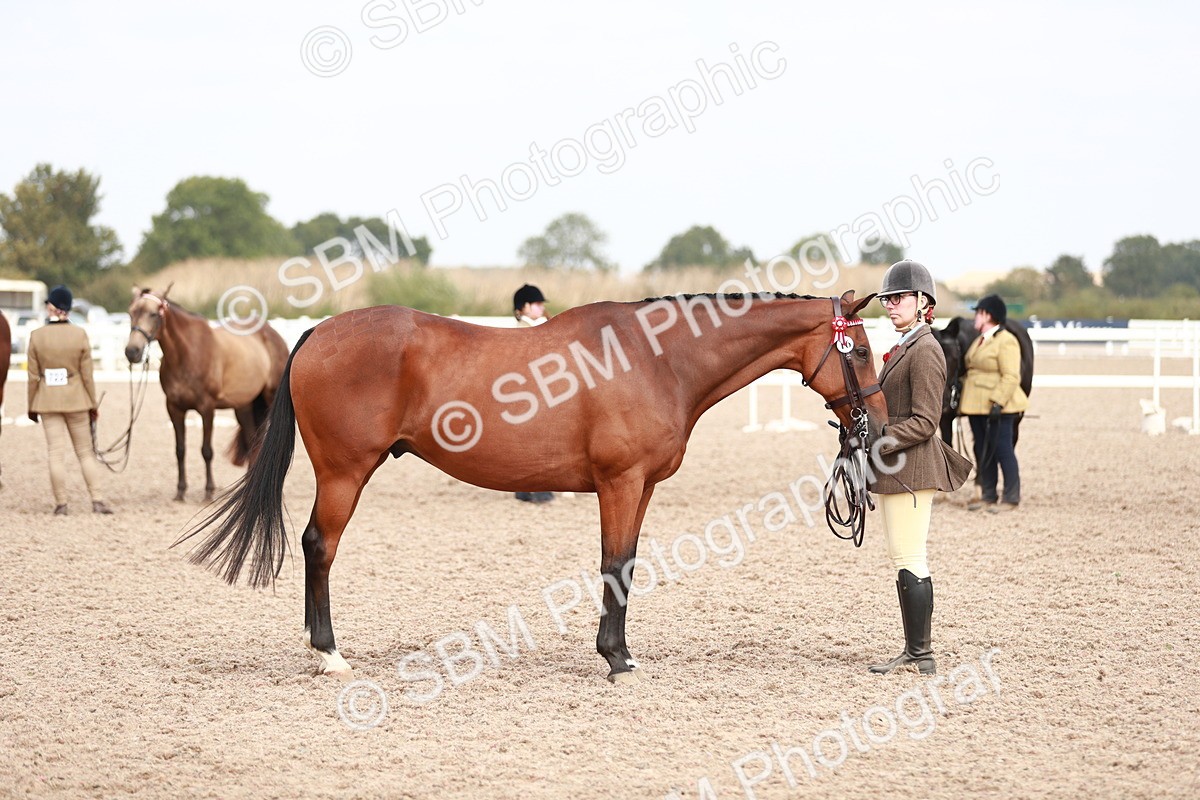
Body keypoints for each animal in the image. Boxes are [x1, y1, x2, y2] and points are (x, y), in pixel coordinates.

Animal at [125, 287, 289, 502]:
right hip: (244, 407)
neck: (187, 353)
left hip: (270, 400)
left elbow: (207, 451)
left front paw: (209, 491)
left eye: (154, 314)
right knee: (253, 441)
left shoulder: (207, 408)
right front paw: (180, 491)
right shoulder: (174, 408)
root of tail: (272, 333)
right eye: (131, 313)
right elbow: (180, 450)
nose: (132, 352)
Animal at [178, 290, 887, 684]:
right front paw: (615, 659)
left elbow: (627, 565)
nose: (874, 426)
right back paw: (328, 654)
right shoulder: (620, 484)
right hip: (345, 472)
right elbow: (614, 565)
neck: (657, 359)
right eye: (858, 351)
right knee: (319, 545)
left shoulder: (642, 489)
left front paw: (623, 653)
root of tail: (319, 330)